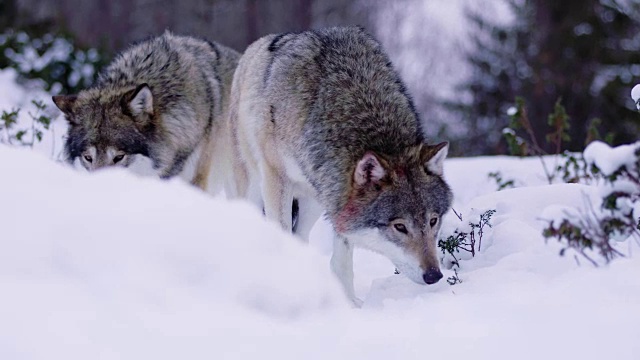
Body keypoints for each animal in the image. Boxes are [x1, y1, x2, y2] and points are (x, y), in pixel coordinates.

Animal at [228, 26, 452, 306]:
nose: (434, 275)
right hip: (253, 184)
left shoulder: (338, 195)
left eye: (433, 221)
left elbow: (342, 261)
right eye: (399, 227)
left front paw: (349, 304)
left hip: (315, 197)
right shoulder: (276, 178)